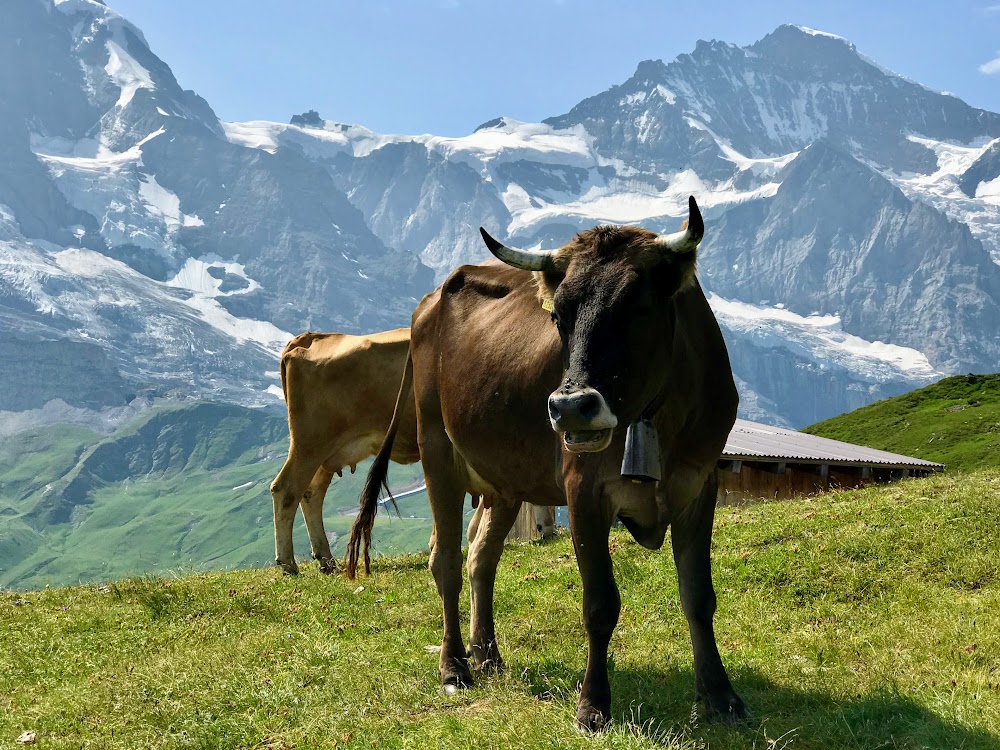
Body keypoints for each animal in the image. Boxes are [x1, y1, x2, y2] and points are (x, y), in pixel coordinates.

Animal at [270, 328, 560, 576]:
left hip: (327, 452)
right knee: (286, 490)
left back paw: (325, 559)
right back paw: (288, 563)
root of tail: (309, 338)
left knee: (310, 494)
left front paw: (546, 527)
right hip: (311, 443)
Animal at [348, 200, 748, 736]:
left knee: (482, 556)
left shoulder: (700, 483)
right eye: (558, 316)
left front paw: (720, 696)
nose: (571, 406)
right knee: (446, 560)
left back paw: (488, 655)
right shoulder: (584, 489)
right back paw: (455, 667)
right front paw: (593, 705)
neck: (655, 417)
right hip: (438, 451)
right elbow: (600, 603)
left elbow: (699, 596)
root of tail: (429, 302)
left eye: (639, 307)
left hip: (503, 480)